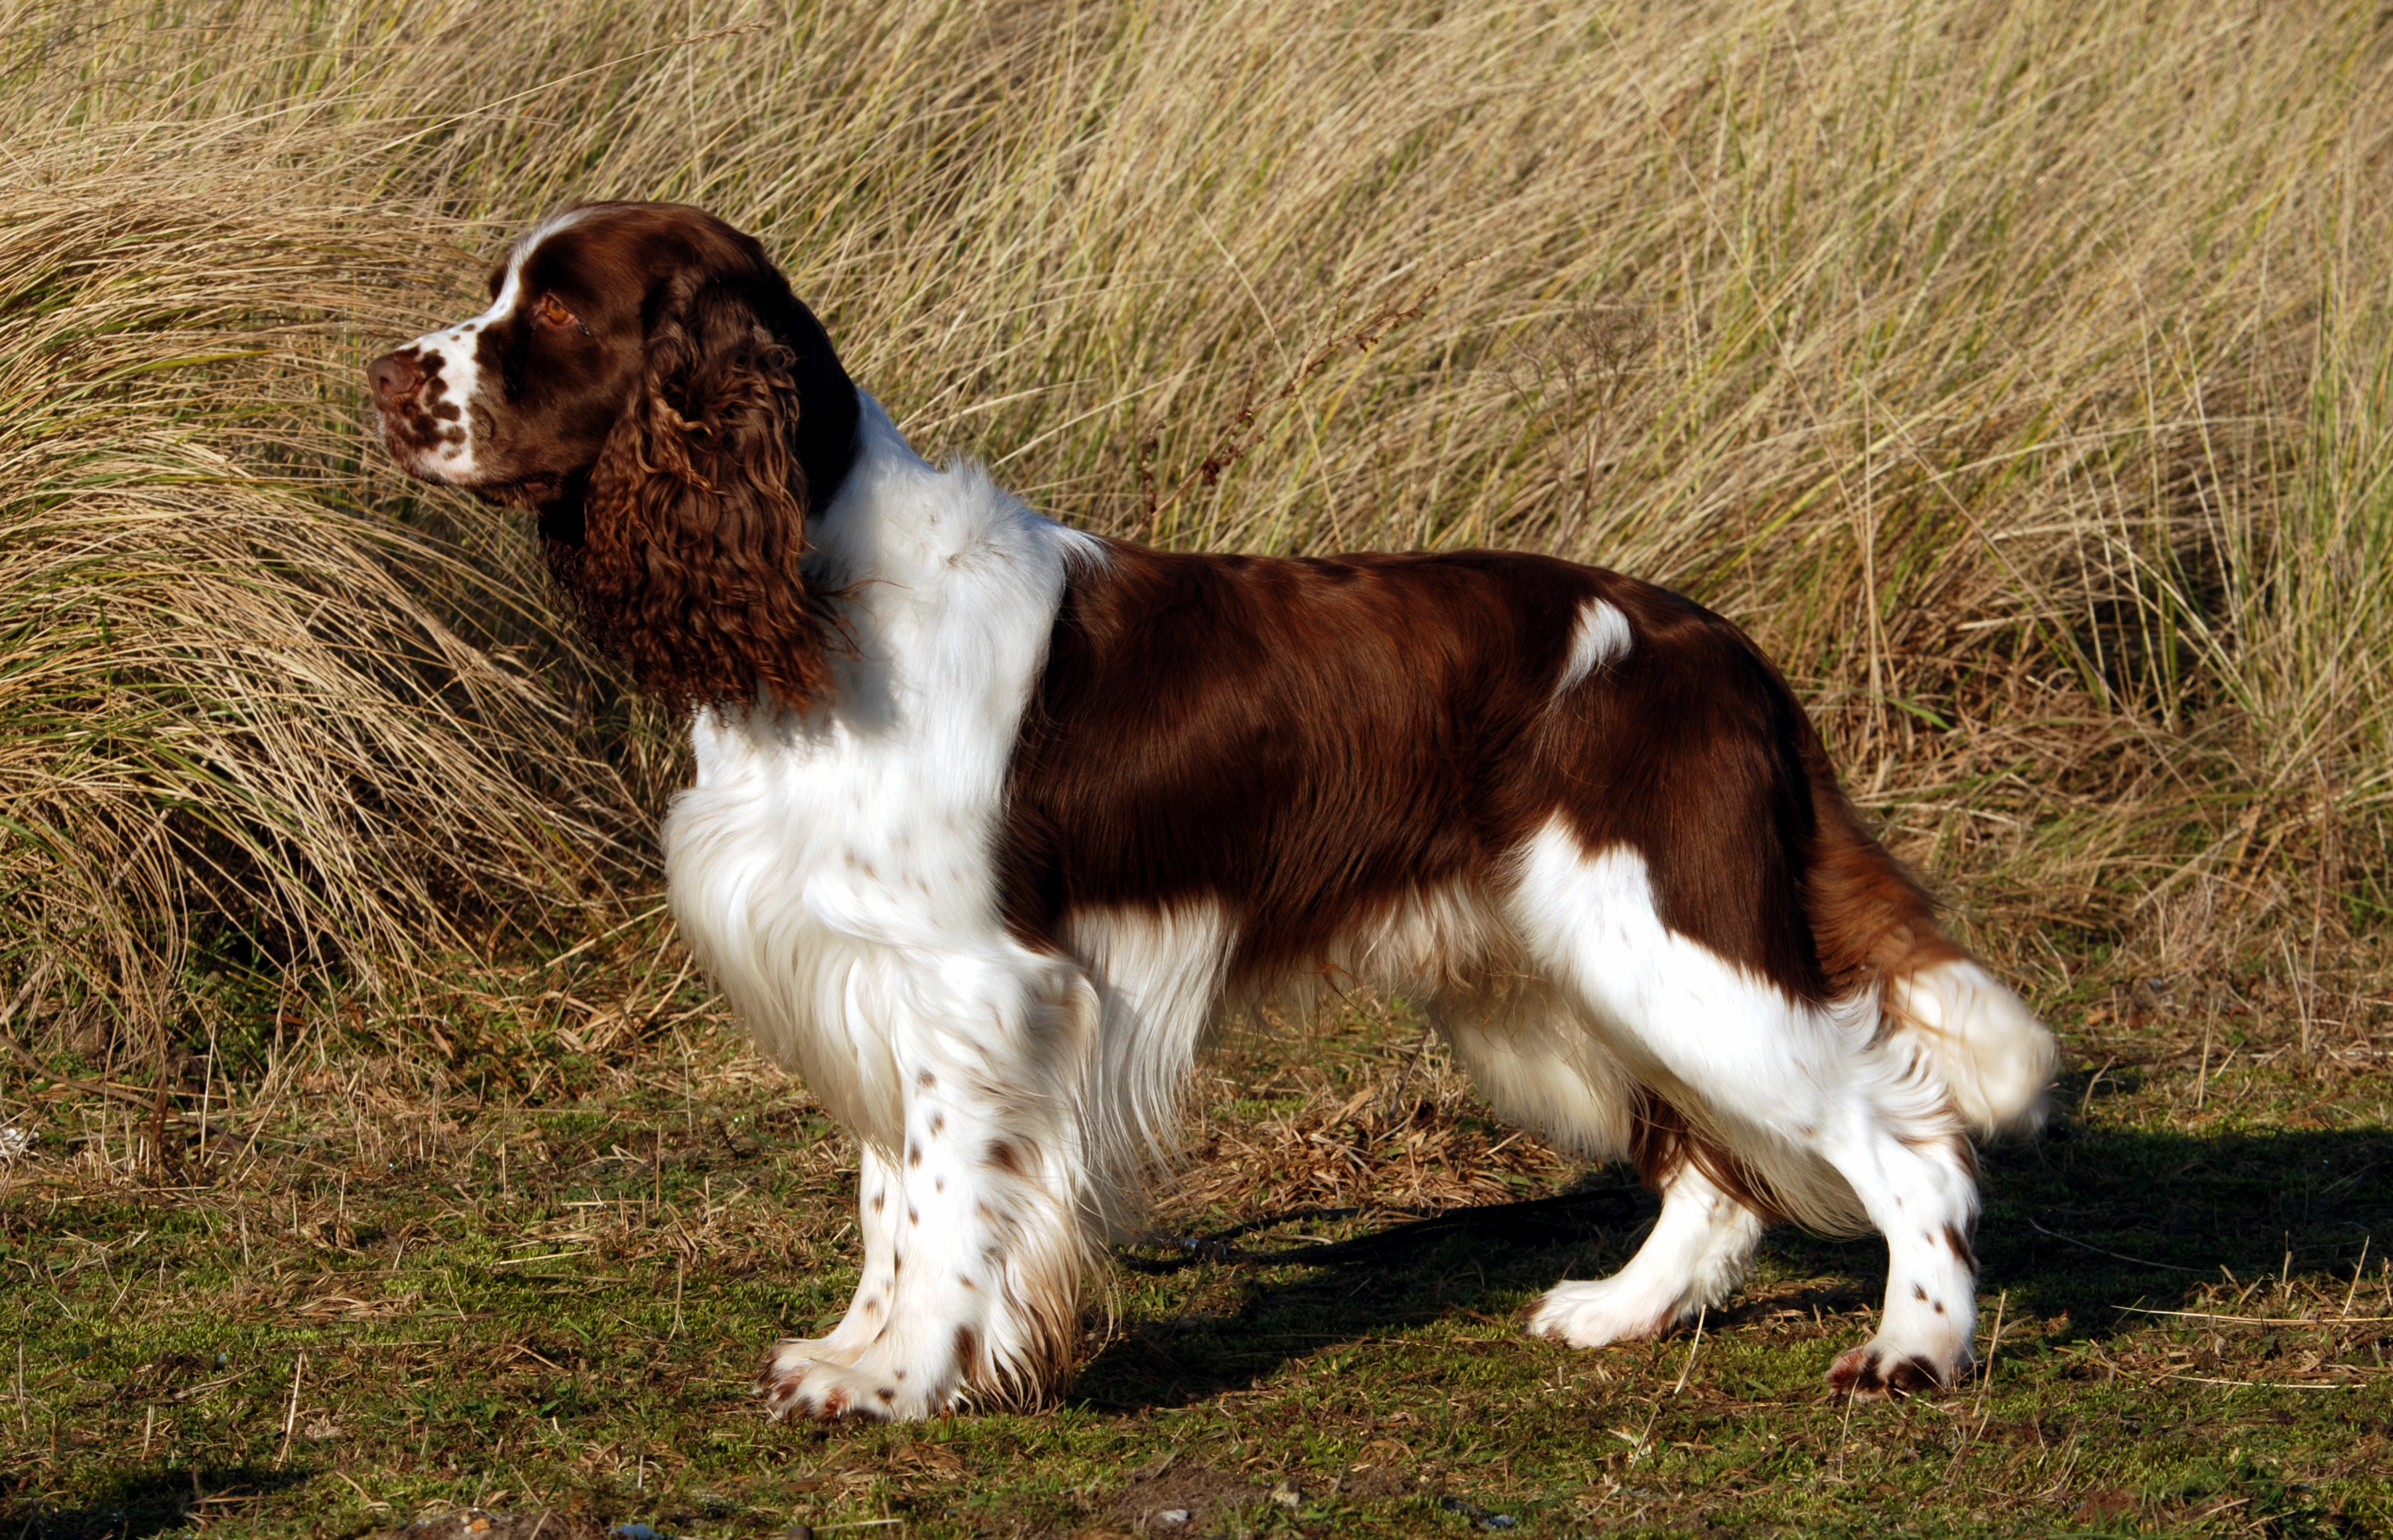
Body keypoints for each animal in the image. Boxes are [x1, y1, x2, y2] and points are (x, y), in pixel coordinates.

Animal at [368, 202, 2057, 1415]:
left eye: (558, 312)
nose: (384, 380)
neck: (814, 592)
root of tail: (1723, 652)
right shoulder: (879, 969)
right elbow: (891, 1198)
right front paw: (861, 1353)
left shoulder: (977, 982)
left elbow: (942, 1198)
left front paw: (904, 1380)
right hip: (1566, 967)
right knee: (1719, 1165)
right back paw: (1617, 1312)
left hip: (1673, 940)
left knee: (1903, 1135)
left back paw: (1916, 1347)